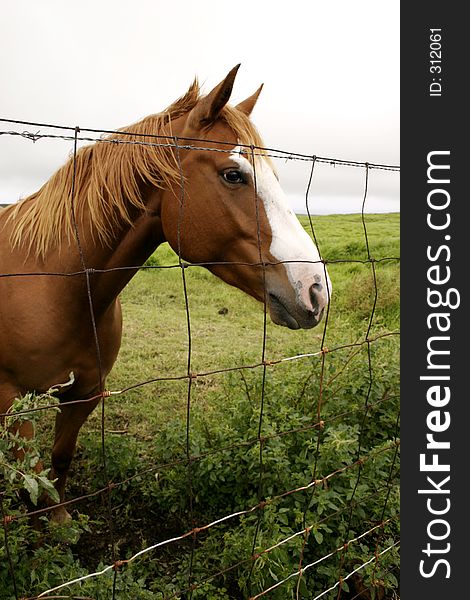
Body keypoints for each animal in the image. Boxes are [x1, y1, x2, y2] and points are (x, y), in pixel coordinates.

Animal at [0, 65, 330, 524]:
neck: (54, 287)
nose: (315, 289)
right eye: (233, 174)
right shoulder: (11, 403)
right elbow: (29, 476)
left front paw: (60, 523)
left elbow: (58, 462)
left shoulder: (85, 393)